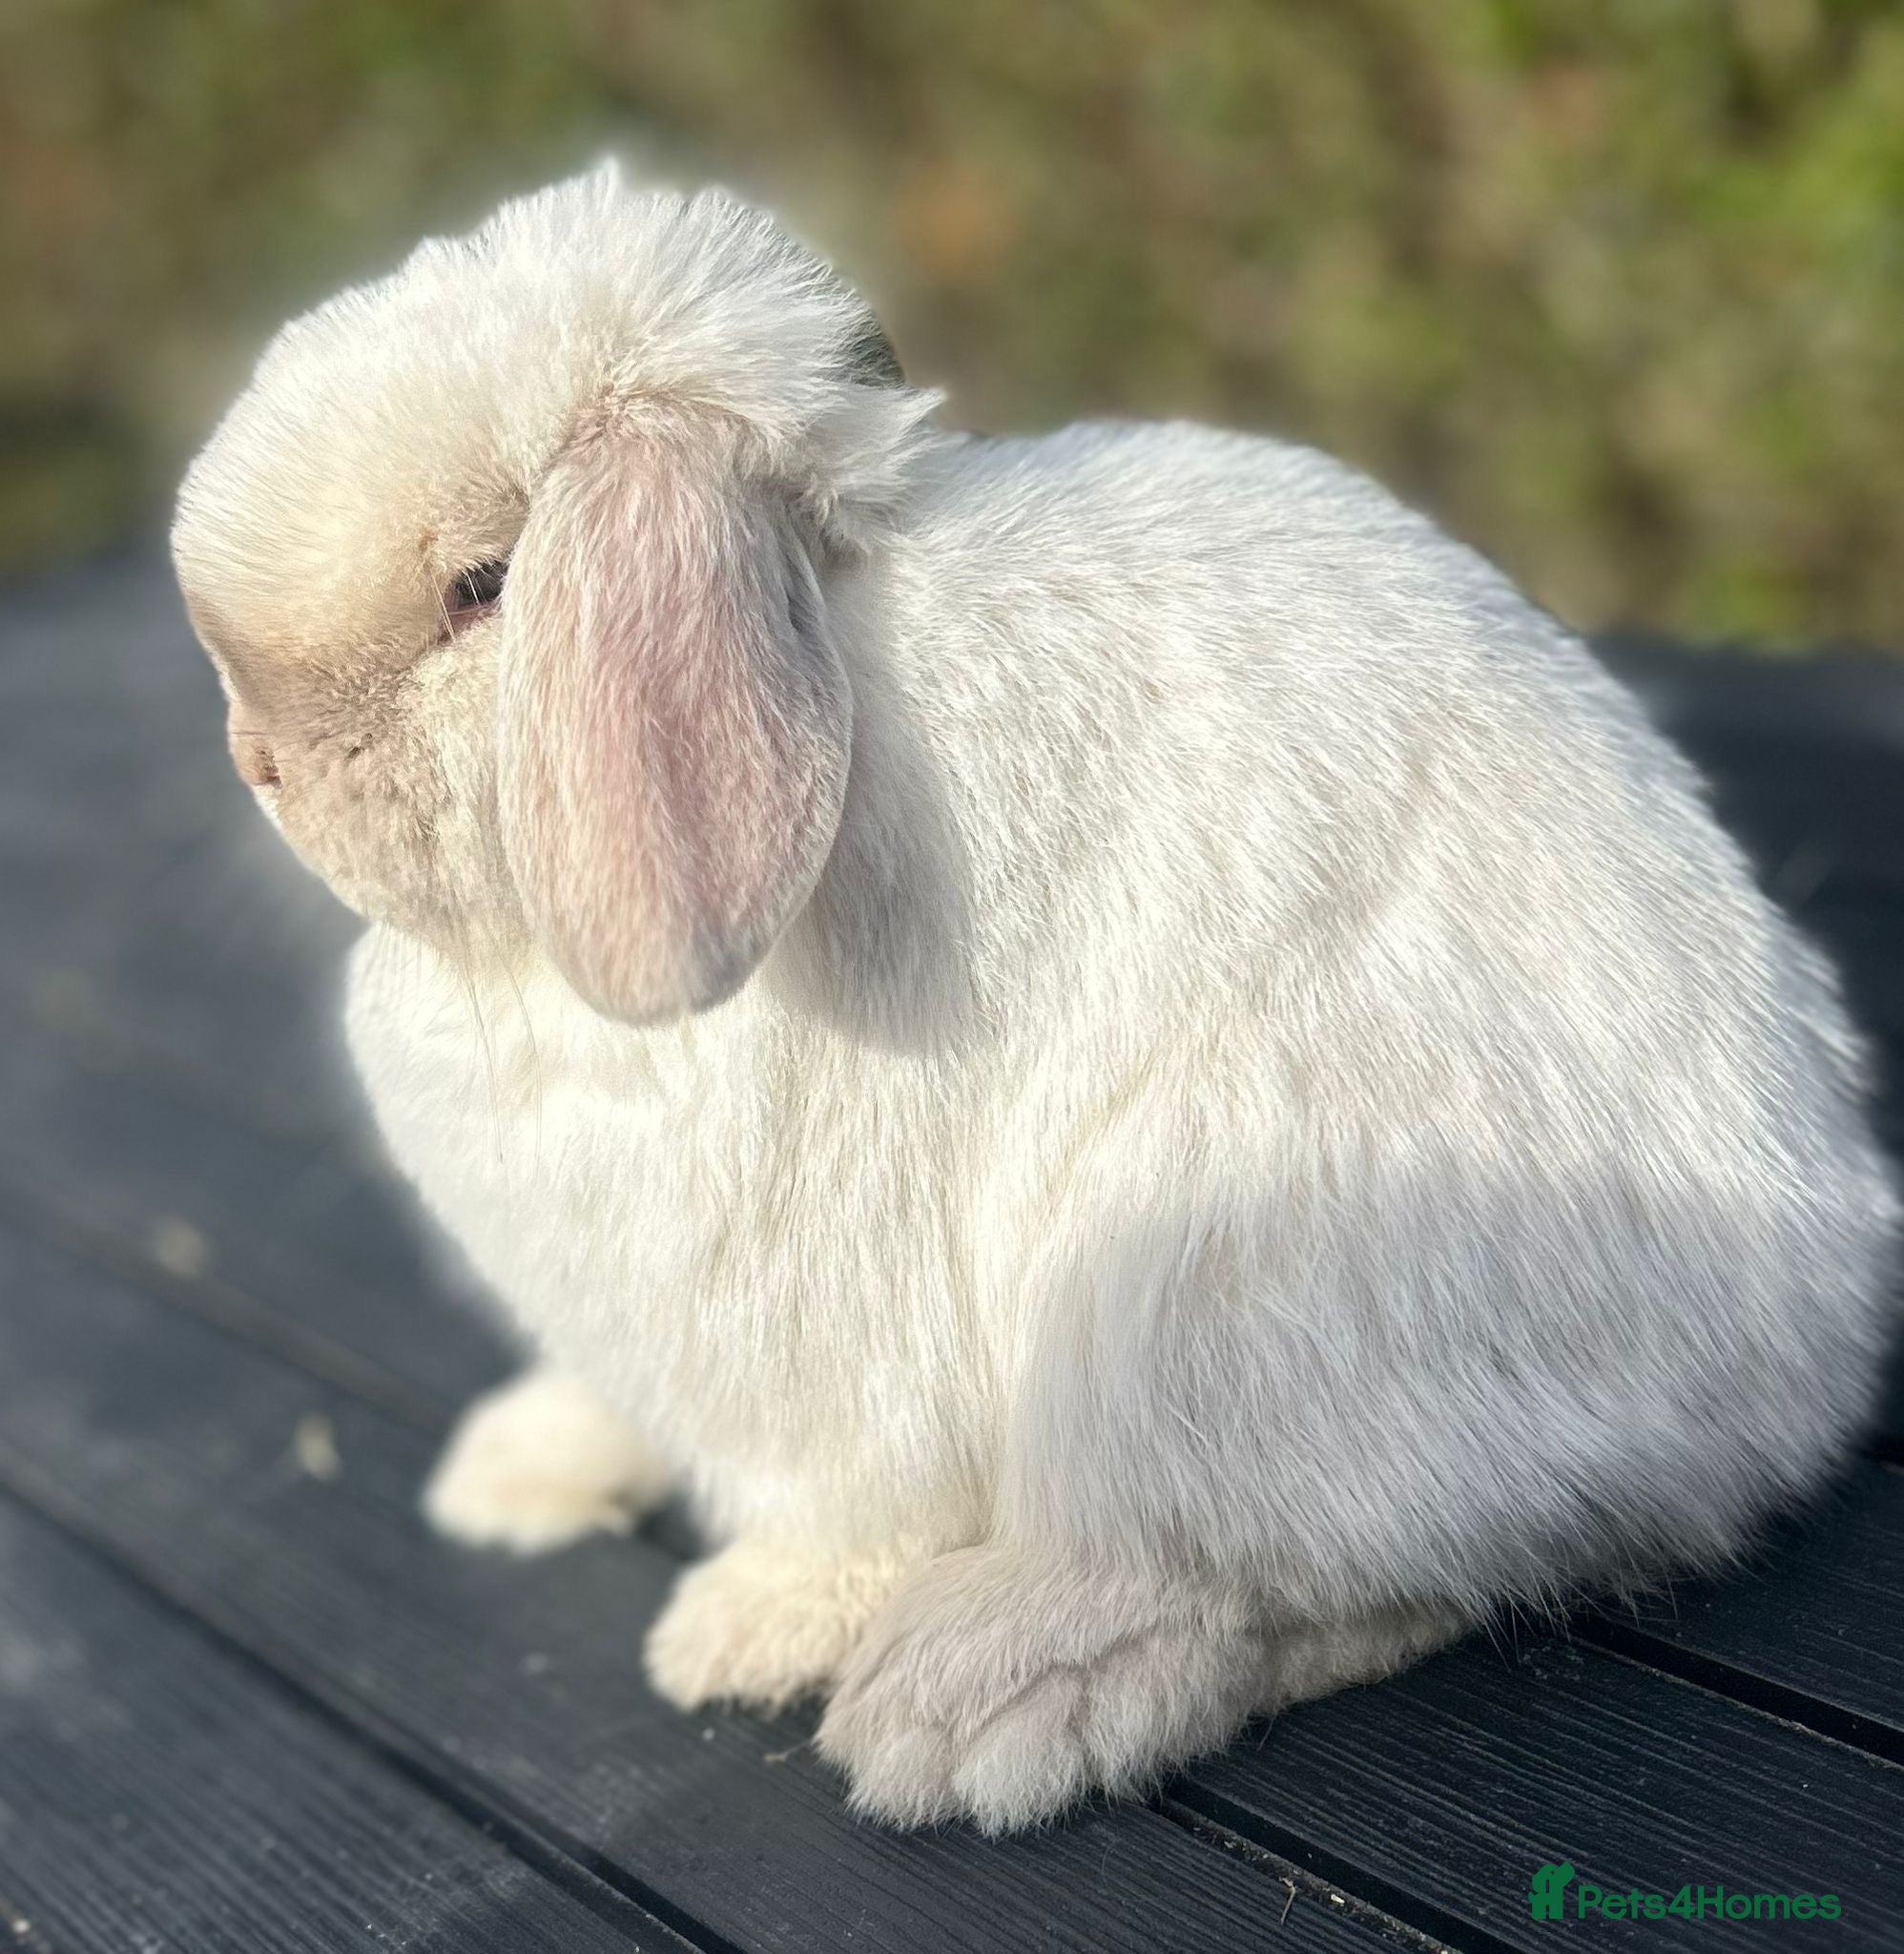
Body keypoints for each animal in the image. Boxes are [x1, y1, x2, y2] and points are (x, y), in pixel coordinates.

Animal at [171, 161, 1899, 1834]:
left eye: (482, 586)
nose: (256, 762)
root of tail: (1807, 1350)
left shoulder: (828, 1351)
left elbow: (847, 1504)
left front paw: (738, 1629)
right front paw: (522, 1469)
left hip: (1199, 1288)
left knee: (1305, 1585)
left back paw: (977, 1702)